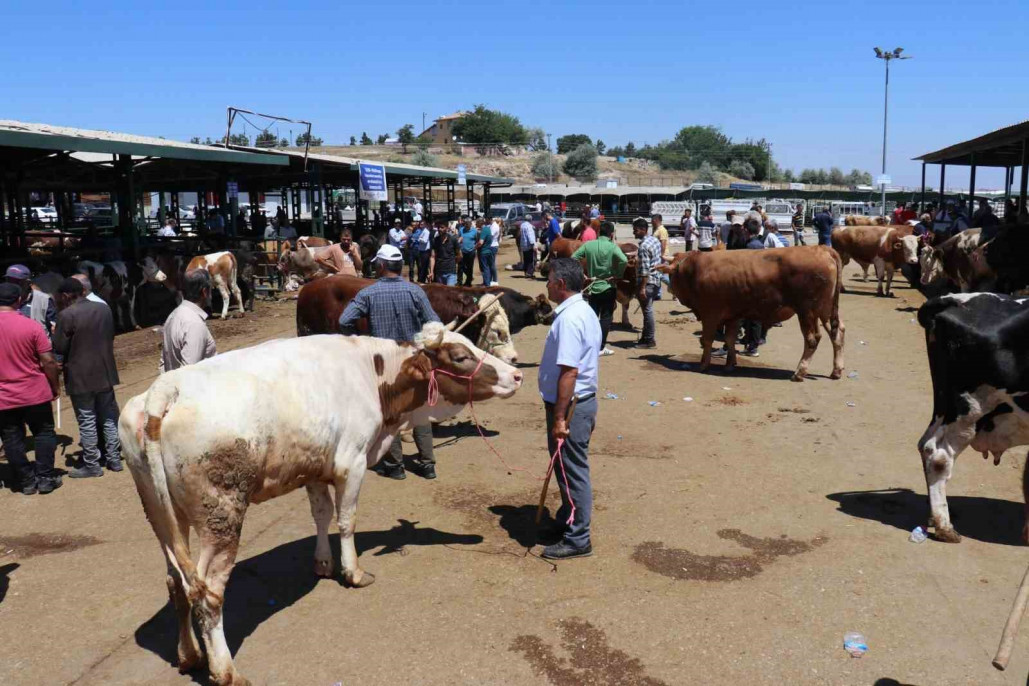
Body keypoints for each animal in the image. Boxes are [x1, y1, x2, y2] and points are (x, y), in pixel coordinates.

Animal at [120, 322, 522, 686]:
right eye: (460, 356)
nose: (516, 374)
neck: (372, 375)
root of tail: (165, 389)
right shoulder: (351, 461)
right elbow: (347, 519)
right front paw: (353, 572)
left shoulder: (314, 465)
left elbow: (321, 514)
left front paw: (323, 563)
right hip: (221, 511)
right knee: (208, 594)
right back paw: (226, 671)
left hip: (161, 513)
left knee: (176, 582)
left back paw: (189, 654)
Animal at [658, 245, 843, 380]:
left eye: (671, 276)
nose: (669, 289)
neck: (695, 269)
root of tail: (821, 248)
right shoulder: (732, 316)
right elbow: (730, 339)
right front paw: (730, 365)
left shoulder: (710, 314)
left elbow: (707, 339)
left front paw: (704, 364)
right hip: (825, 311)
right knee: (837, 333)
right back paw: (836, 370)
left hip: (807, 311)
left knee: (812, 340)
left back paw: (799, 372)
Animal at [917, 292, 1029, 543]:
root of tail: (955, 299)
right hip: (968, 410)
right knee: (938, 455)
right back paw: (944, 527)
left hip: (945, 408)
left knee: (925, 445)